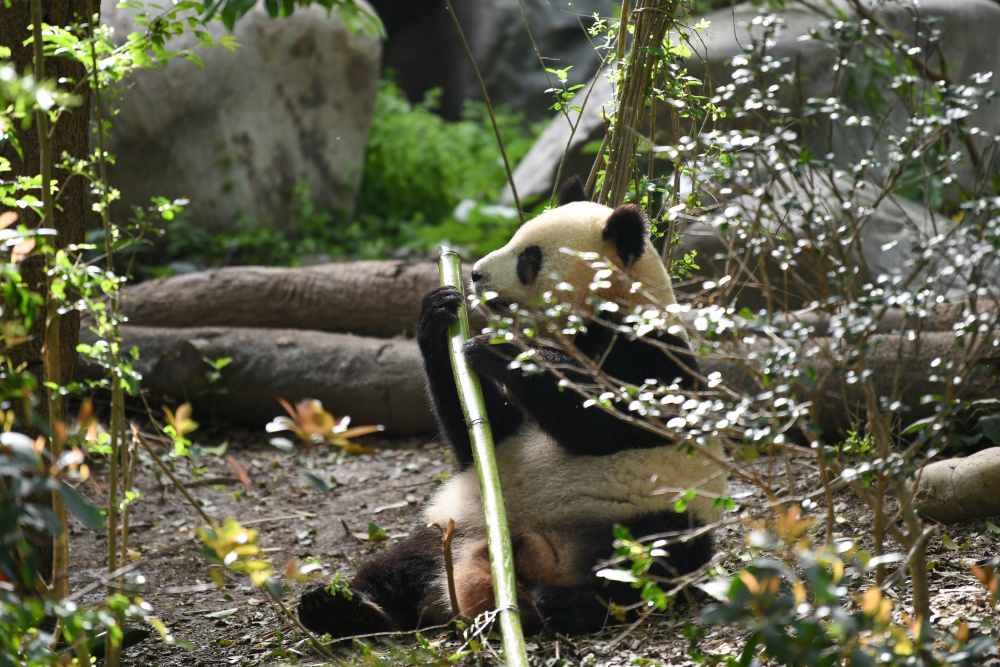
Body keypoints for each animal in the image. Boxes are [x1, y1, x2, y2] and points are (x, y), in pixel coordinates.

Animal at [296, 177, 728, 636]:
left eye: (530, 257)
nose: (475, 274)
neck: (606, 309)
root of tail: (532, 563)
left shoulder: (653, 353)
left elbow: (618, 423)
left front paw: (503, 350)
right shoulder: (504, 434)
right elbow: (483, 432)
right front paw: (439, 312)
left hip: (654, 510)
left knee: (653, 556)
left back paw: (569, 604)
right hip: (458, 526)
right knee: (404, 562)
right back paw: (342, 607)